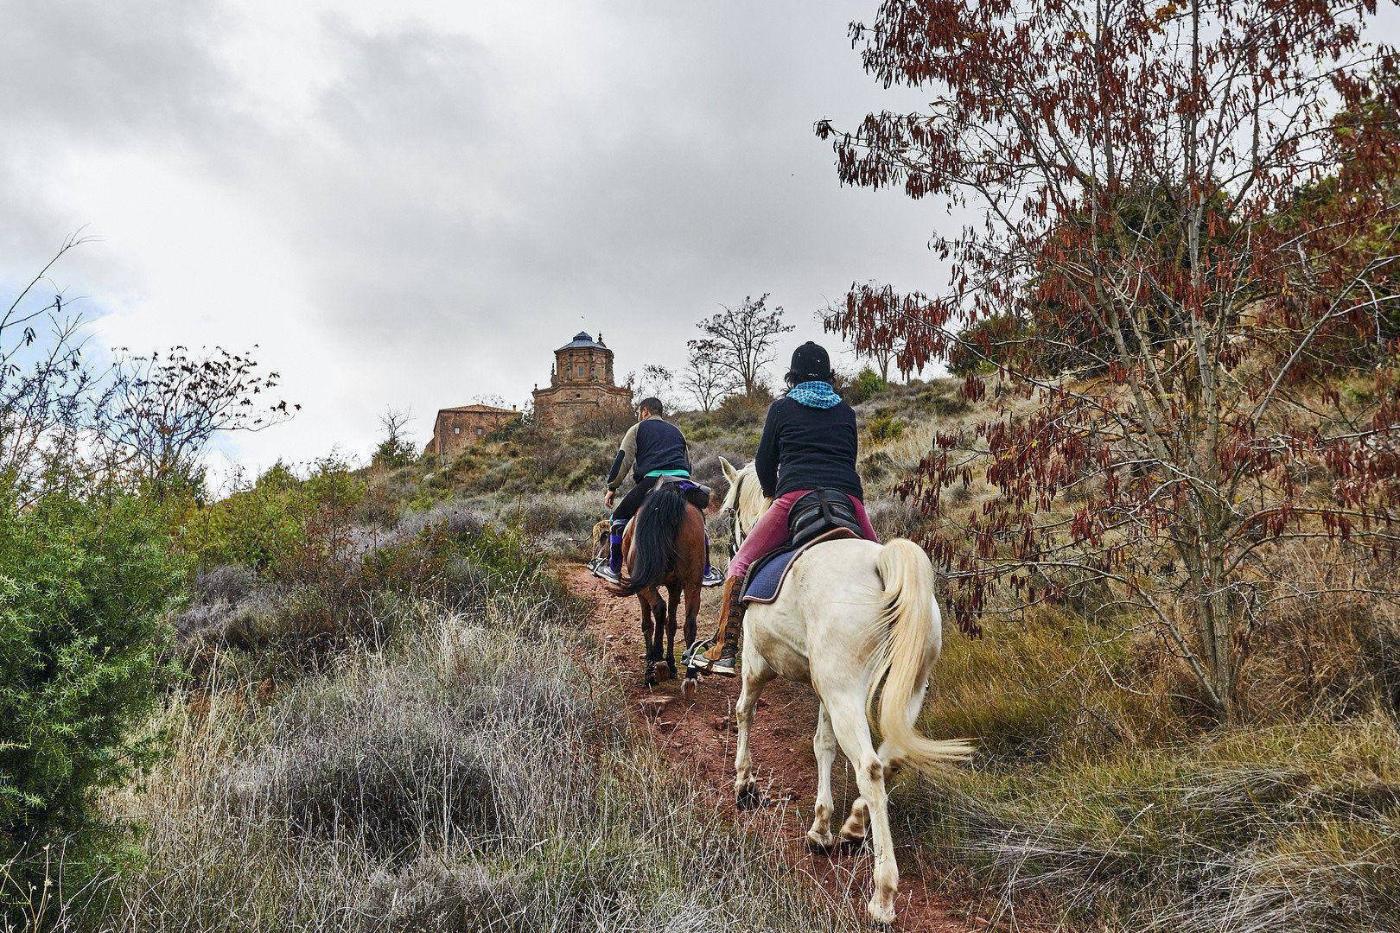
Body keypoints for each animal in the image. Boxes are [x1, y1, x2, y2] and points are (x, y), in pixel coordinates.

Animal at [607, 479, 705, 689]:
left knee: (659, 607)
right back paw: (690, 675)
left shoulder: (642, 589)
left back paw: (656, 664)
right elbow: (672, 623)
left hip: (646, 583)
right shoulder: (676, 585)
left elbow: (647, 623)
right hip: (693, 582)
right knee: (689, 622)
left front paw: (655, 663)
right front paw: (672, 665)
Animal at [716, 453, 968, 918]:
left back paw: (883, 893)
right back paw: (852, 825)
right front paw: (821, 826)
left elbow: (745, 711)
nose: (730, 544)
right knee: (891, 755)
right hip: (902, 687)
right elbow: (823, 745)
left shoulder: (756, 662)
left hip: (845, 691)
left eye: (726, 509)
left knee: (869, 766)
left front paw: (744, 784)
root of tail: (883, 564)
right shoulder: (824, 690)